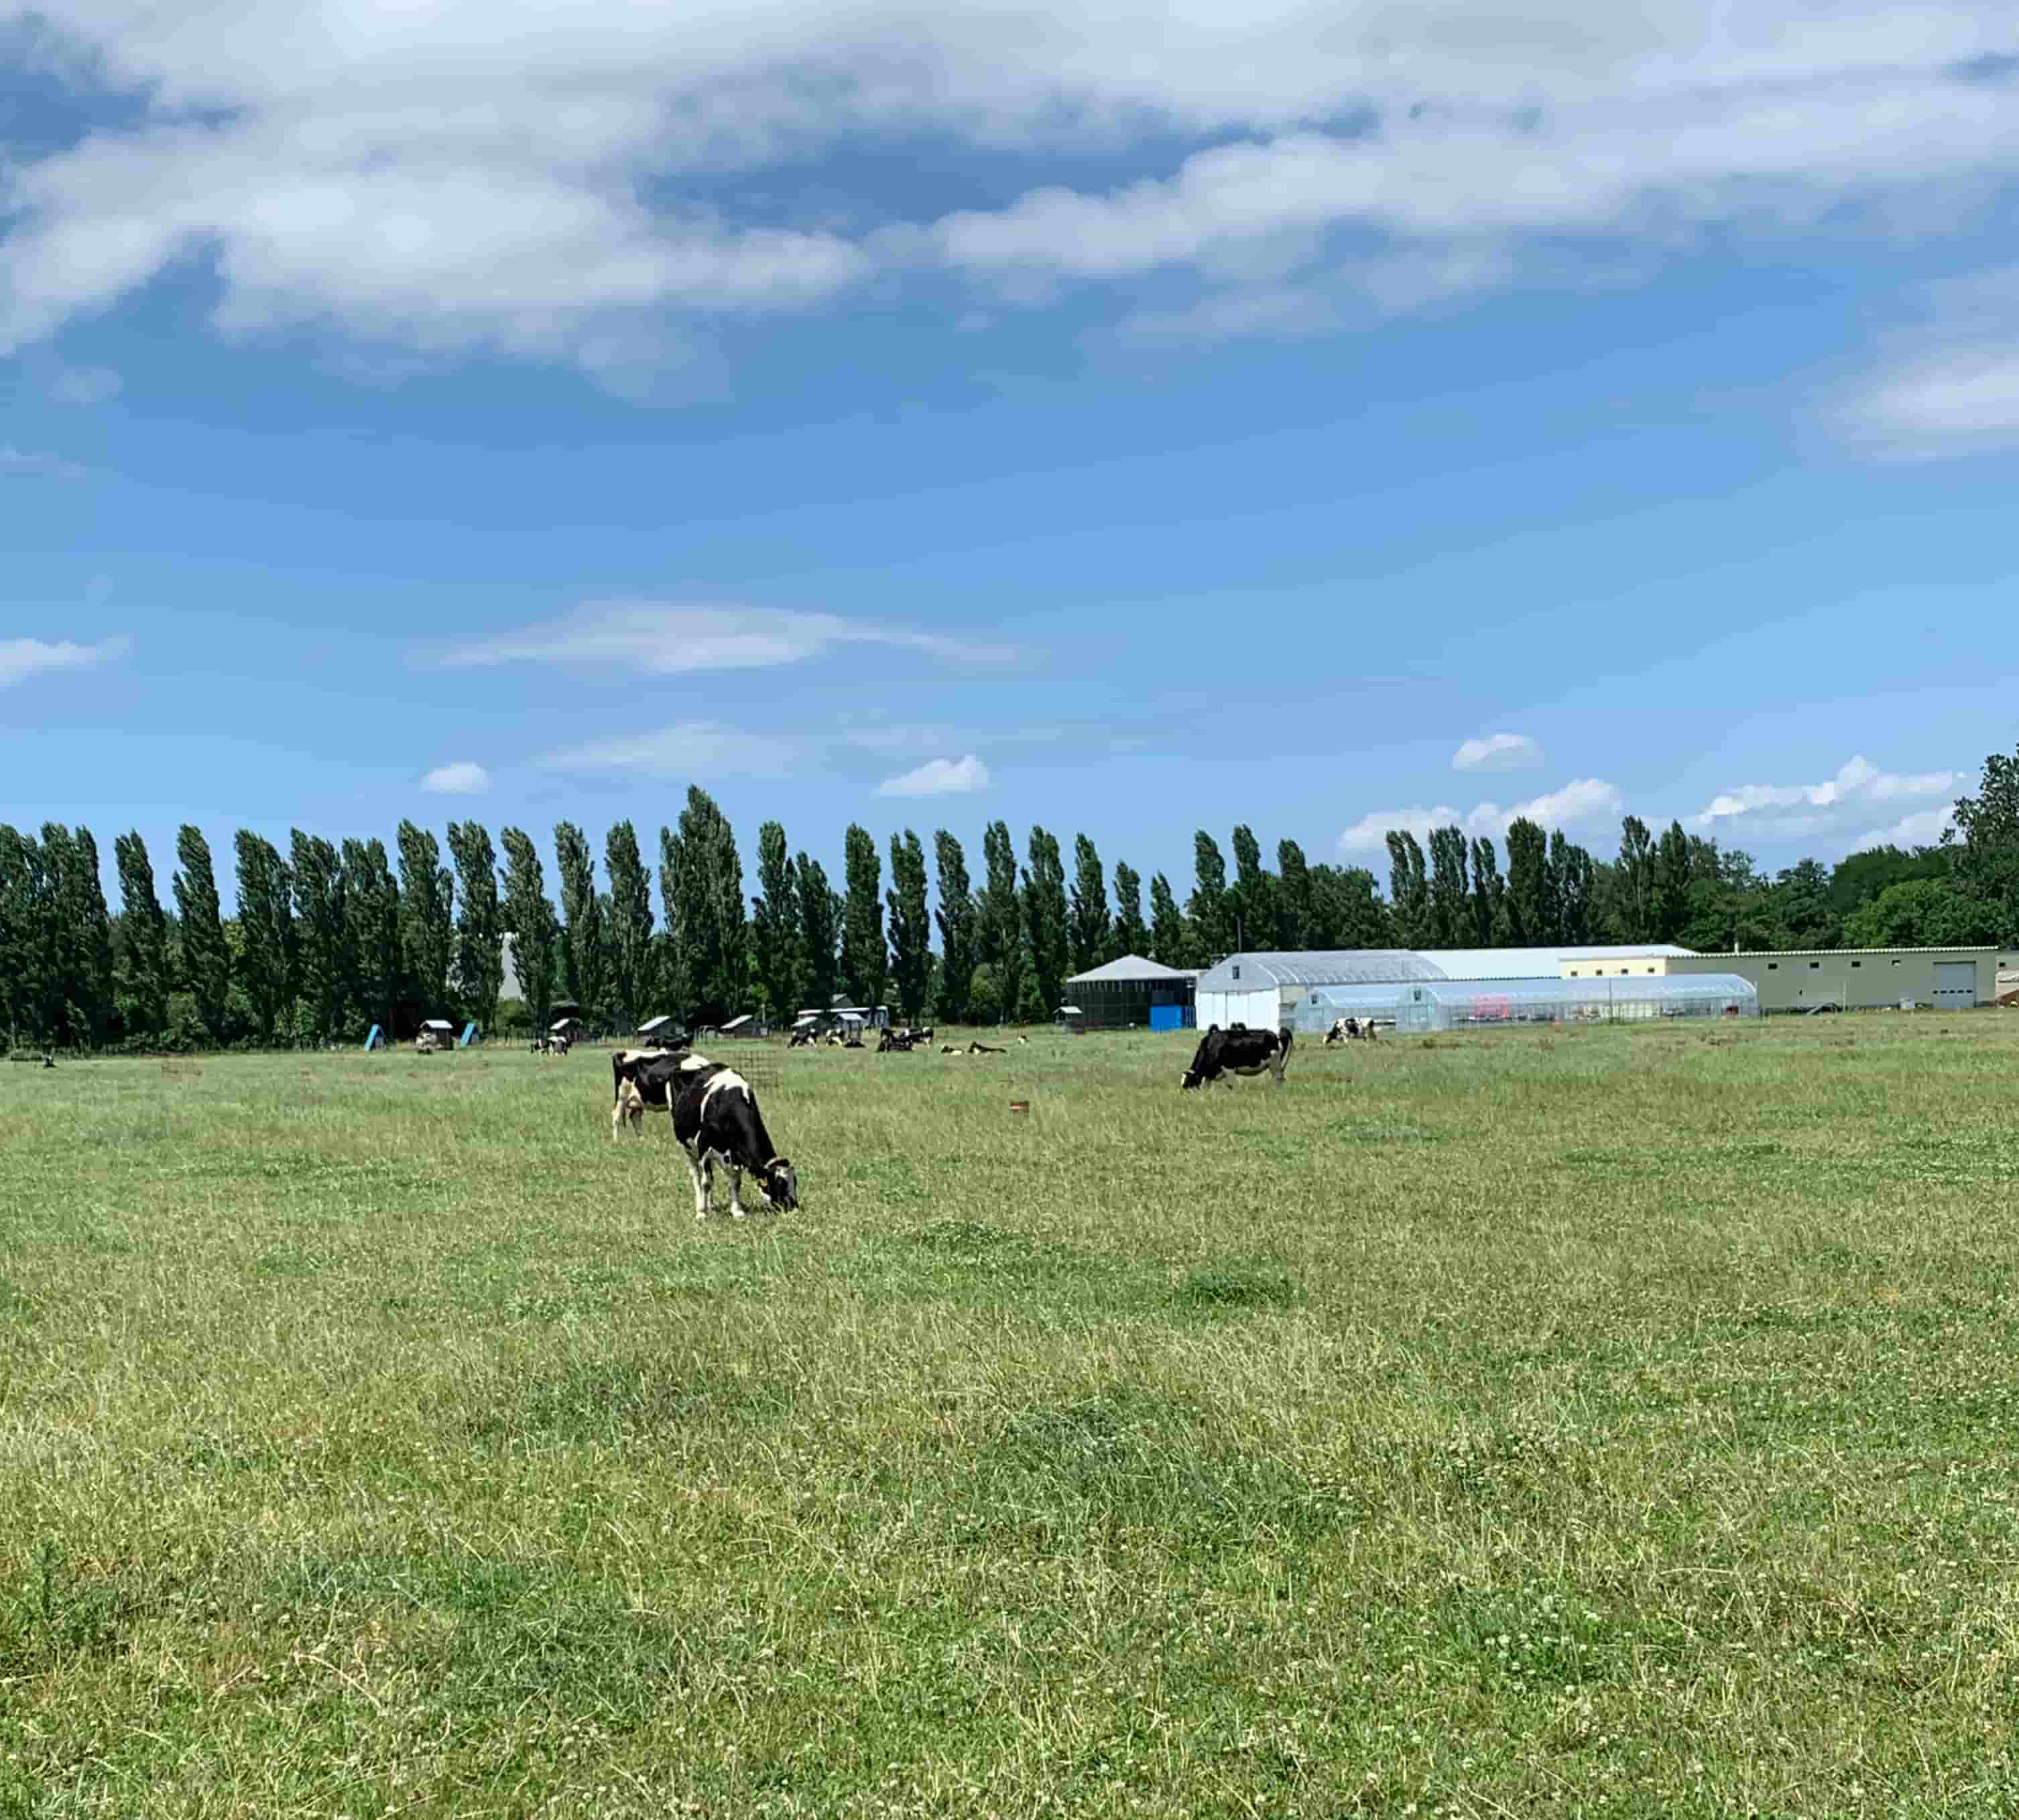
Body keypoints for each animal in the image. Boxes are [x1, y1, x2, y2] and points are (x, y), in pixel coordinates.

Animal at [670, 1058, 795, 1211]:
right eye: (779, 1184)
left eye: (795, 1182)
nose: (794, 1208)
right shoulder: (703, 1145)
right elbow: (706, 1183)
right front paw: (703, 1212)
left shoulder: (736, 1150)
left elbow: (736, 1182)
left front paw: (737, 1210)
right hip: (688, 1147)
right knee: (697, 1177)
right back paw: (701, 1206)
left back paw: (711, 1205)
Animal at [1179, 1014, 1300, 1083]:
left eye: (1188, 1083)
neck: (1211, 1046)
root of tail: (1283, 1029)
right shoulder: (1210, 1073)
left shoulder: (1229, 1069)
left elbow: (1231, 1086)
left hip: (1275, 1063)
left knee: (1278, 1079)